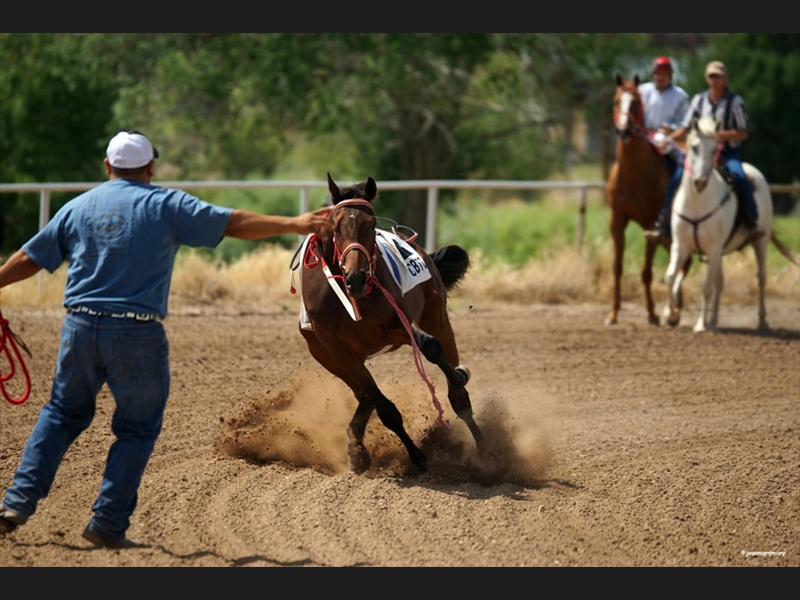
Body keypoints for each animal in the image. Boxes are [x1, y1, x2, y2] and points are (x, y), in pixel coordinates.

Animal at [294, 173, 482, 474]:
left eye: (371, 224)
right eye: (336, 226)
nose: (357, 277)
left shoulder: (397, 325)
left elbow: (430, 347)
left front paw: (458, 378)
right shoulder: (338, 351)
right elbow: (382, 405)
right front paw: (415, 454)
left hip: (437, 316)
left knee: (450, 376)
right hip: (327, 357)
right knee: (364, 397)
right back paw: (356, 447)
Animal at [608, 75, 688, 328]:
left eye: (635, 103)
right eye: (616, 101)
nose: (624, 130)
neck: (634, 174)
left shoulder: (652, 225)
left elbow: (646, 272)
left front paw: (652, 314)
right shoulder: (617, 222)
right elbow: (617, 267)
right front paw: (612, 314)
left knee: (682, 266)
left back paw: (674, 311)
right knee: (682, 265)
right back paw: (675, 310)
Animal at [664, 116, 800, 332]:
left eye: (714, 149)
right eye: (694, 147)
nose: (700, 182)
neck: (697, 202)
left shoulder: (713, 248)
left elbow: (706, 288)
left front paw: (700, 325)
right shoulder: (681, 246)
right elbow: (670, 277)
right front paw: (671, 316)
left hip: (760, 243)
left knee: (761, 278)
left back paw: (762, 321)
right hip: (720, 252)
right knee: (720, 281)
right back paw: (713, 320)